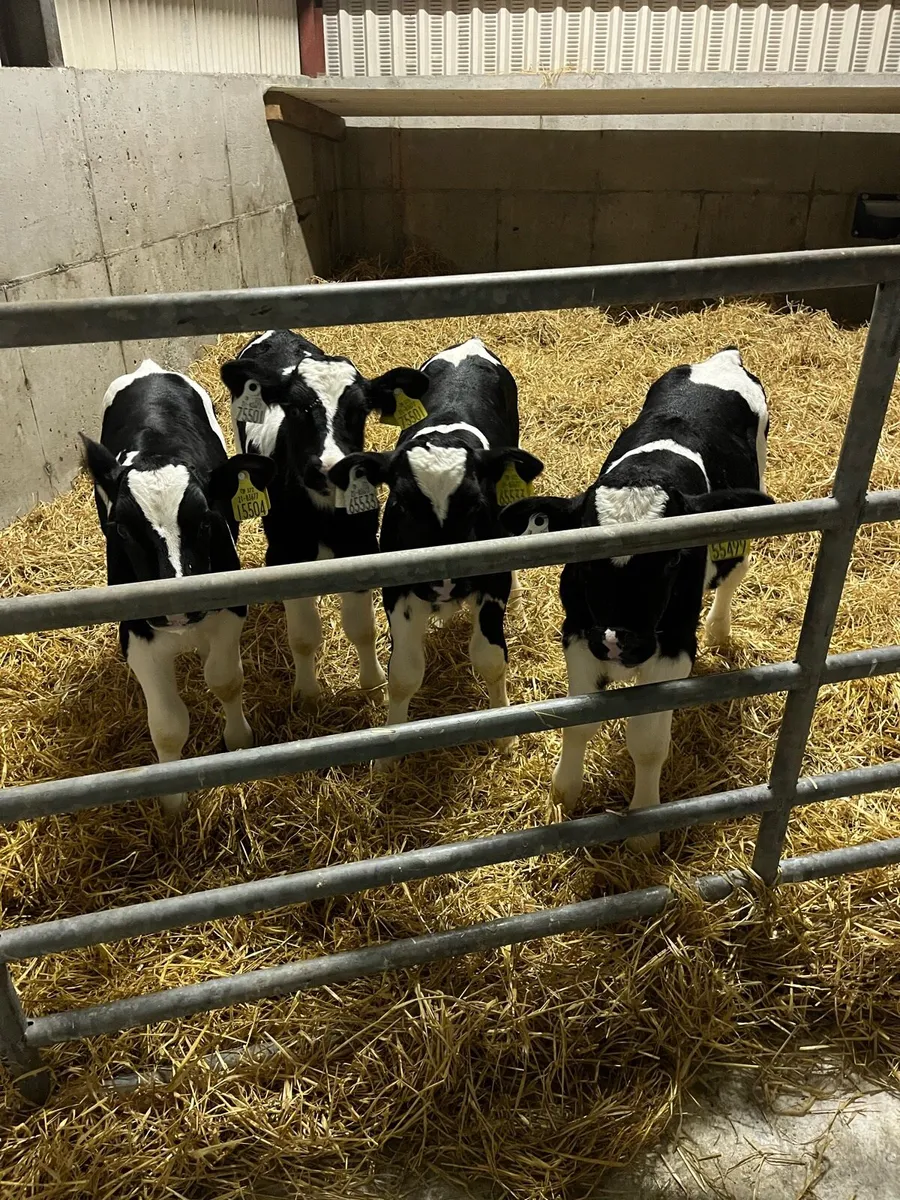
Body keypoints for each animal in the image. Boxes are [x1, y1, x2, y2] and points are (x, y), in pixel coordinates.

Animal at [81, 359, 275, 818]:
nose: (176, 604)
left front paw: (238, 740)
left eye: (205, 520)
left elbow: (224, 678)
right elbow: (167, 725)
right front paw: (172, 797)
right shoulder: (135, 632)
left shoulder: (231, 609)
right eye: (122, 530)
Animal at [219, 330, 431, 701]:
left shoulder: (361, 545)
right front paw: (306, 692)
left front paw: (373, 682)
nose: (327, 469)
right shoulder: (286, 552)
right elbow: (304, 637)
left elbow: (362, 629)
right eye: (295, 408)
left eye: (360, 411)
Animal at [327, 337, 544, 768]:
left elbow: (491, 659)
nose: (446, 578)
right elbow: (404, 673)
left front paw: (505, 736)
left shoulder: (491, 581)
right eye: (403, 504)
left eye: (475, 504)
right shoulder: (397, 590)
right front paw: (389, 753)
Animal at [502, 347, 772, 852]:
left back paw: (720, 630)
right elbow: (580, 721)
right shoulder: (578, 632)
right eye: (585, 560)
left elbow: (647, 743)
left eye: (669, 561)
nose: (617, 641)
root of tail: (724, 357)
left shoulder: (673, 647)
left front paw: (645, 826)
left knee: (733, 576)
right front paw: (564, 792)